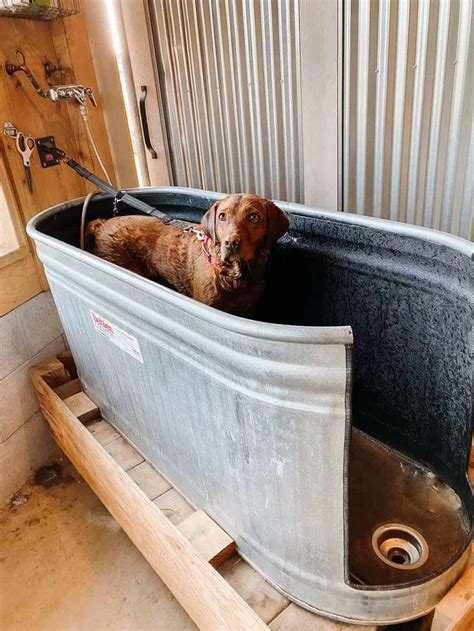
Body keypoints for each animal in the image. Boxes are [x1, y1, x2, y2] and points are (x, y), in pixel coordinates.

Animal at [86, 194, 288, 316]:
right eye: (222, 216)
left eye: (254, 217)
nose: (230, 243)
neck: (234, 276)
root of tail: (102, 224)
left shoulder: (248, 310)